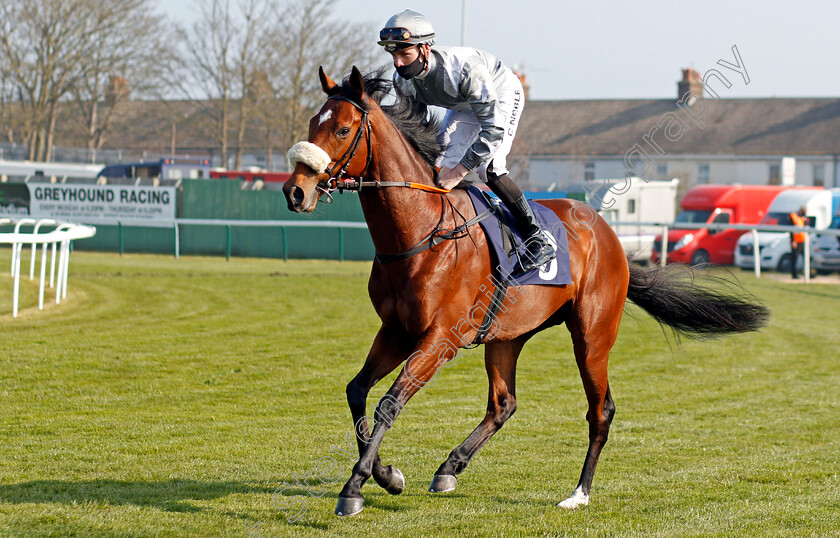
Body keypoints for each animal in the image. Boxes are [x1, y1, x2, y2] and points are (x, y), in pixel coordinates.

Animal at [282, 67, 768, 516]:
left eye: (343, 129)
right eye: (311, 122)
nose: (295, 191)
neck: (422, 231)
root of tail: (611, 237)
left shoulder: (438, 338)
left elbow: (389, 402)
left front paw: (355, 487)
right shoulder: (398, 330)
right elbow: (358, 390)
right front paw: (387, 474)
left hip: (591, 336)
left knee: (600, 410)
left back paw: (578, 492)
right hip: (506, 336)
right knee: (503, 403)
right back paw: (449, 468)